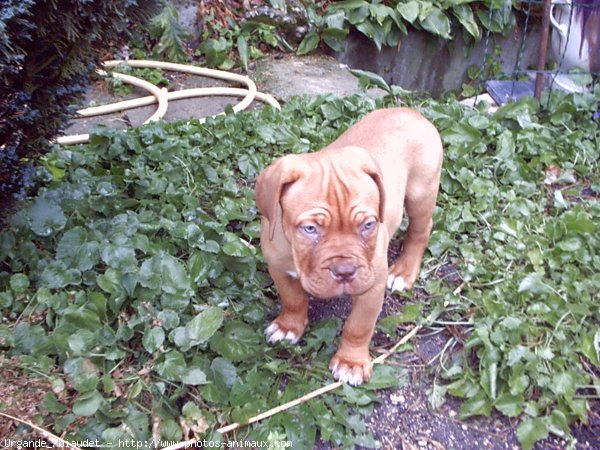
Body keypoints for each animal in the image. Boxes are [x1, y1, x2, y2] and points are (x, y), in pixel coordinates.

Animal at [255, 107, 442, 384]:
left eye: (368, 225)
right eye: (310, 229)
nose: (344, 272)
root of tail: (409, 110)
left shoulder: (372, 284)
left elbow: (358, 326)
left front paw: (350, 362)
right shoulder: (278, 268)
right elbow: (293, 299)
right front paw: (288, 326)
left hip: (421, 193)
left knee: (420, 230)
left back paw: (404, 271)